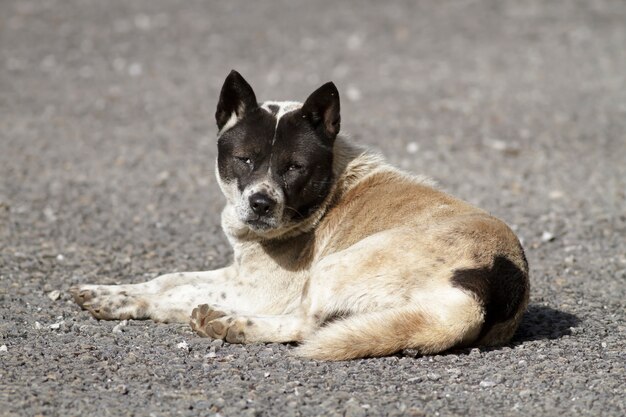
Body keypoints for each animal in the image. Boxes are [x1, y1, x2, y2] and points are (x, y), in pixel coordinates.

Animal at [69, 70, 528, 360]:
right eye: (245, 159)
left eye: (294, 168)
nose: (261, 203)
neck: (330, 190)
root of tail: (487, 285)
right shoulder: (239, 273)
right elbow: (169, 279)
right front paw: (110, 293)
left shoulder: (260, 291)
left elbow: (174, 295)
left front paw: (136, 304)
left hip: (335, 267)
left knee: (305, 326)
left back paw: (230, 323)